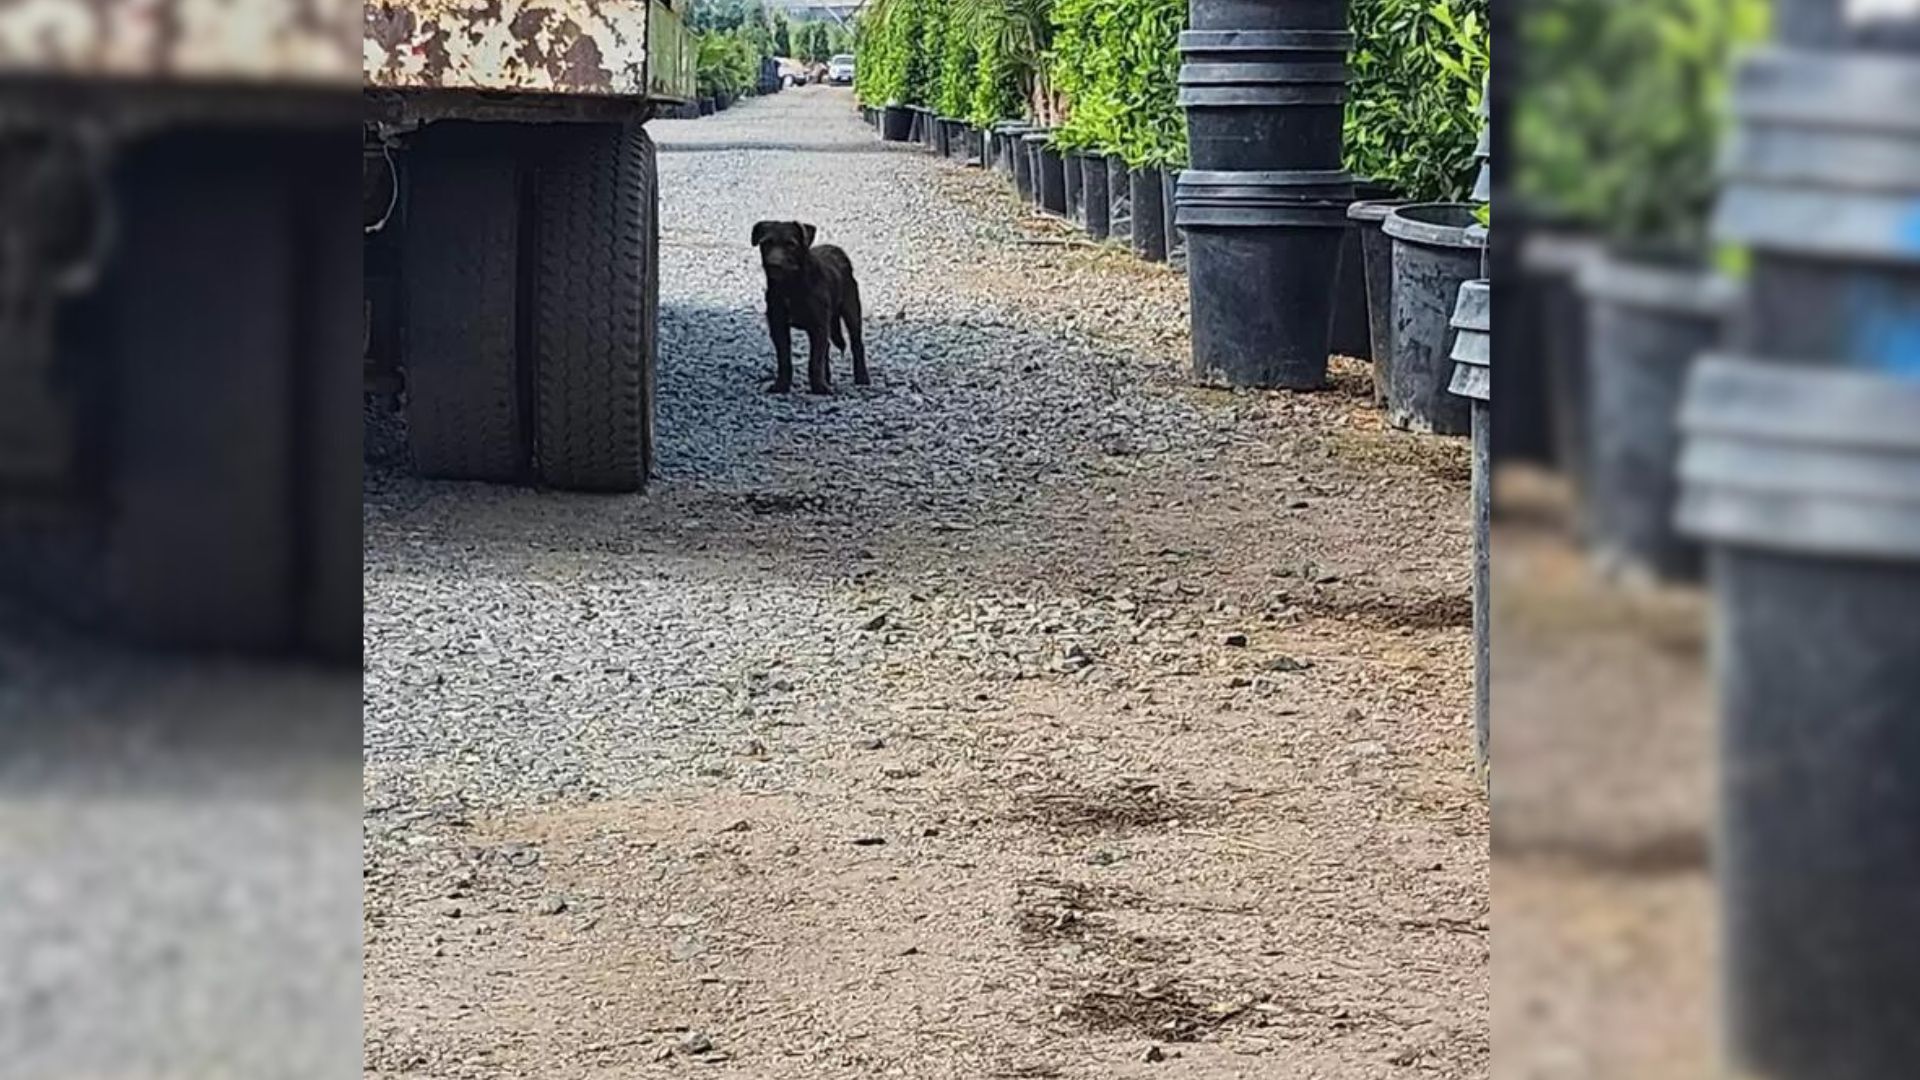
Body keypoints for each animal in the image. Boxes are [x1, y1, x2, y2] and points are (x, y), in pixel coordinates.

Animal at [748, 219, 871, 390]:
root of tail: (838, 251)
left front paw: (819, 387)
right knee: (826, 347)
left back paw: (862, 377)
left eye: (791, 244)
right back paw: (827, 377)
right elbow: (784, 358)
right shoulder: (778, 326)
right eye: (766, 243)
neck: (791, 286)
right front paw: (782, 385)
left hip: (852, 312)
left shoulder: (818, 326)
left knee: (857, 345)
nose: (773, 264)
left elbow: (814, 361)